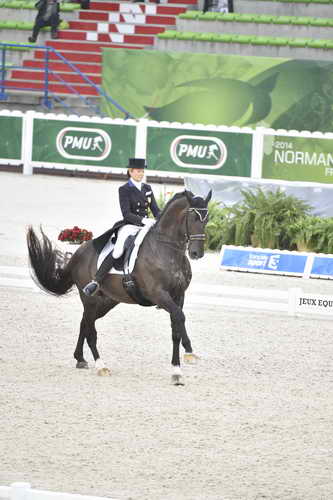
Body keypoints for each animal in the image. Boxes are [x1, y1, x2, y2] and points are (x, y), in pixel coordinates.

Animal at [27, 189, 211, 384]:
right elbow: (179, 317)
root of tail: (78, 253)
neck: (167, 249)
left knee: (85, 323)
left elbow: (176, 328)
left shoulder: (178, 296)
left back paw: (80, 359)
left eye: (207, 219)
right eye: (193, 217)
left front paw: (180, 365)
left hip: (107, 301)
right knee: (91, 330)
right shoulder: (159, 294)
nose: (196, 253)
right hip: (90, 299)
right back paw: (101, 366)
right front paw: (184, 360)